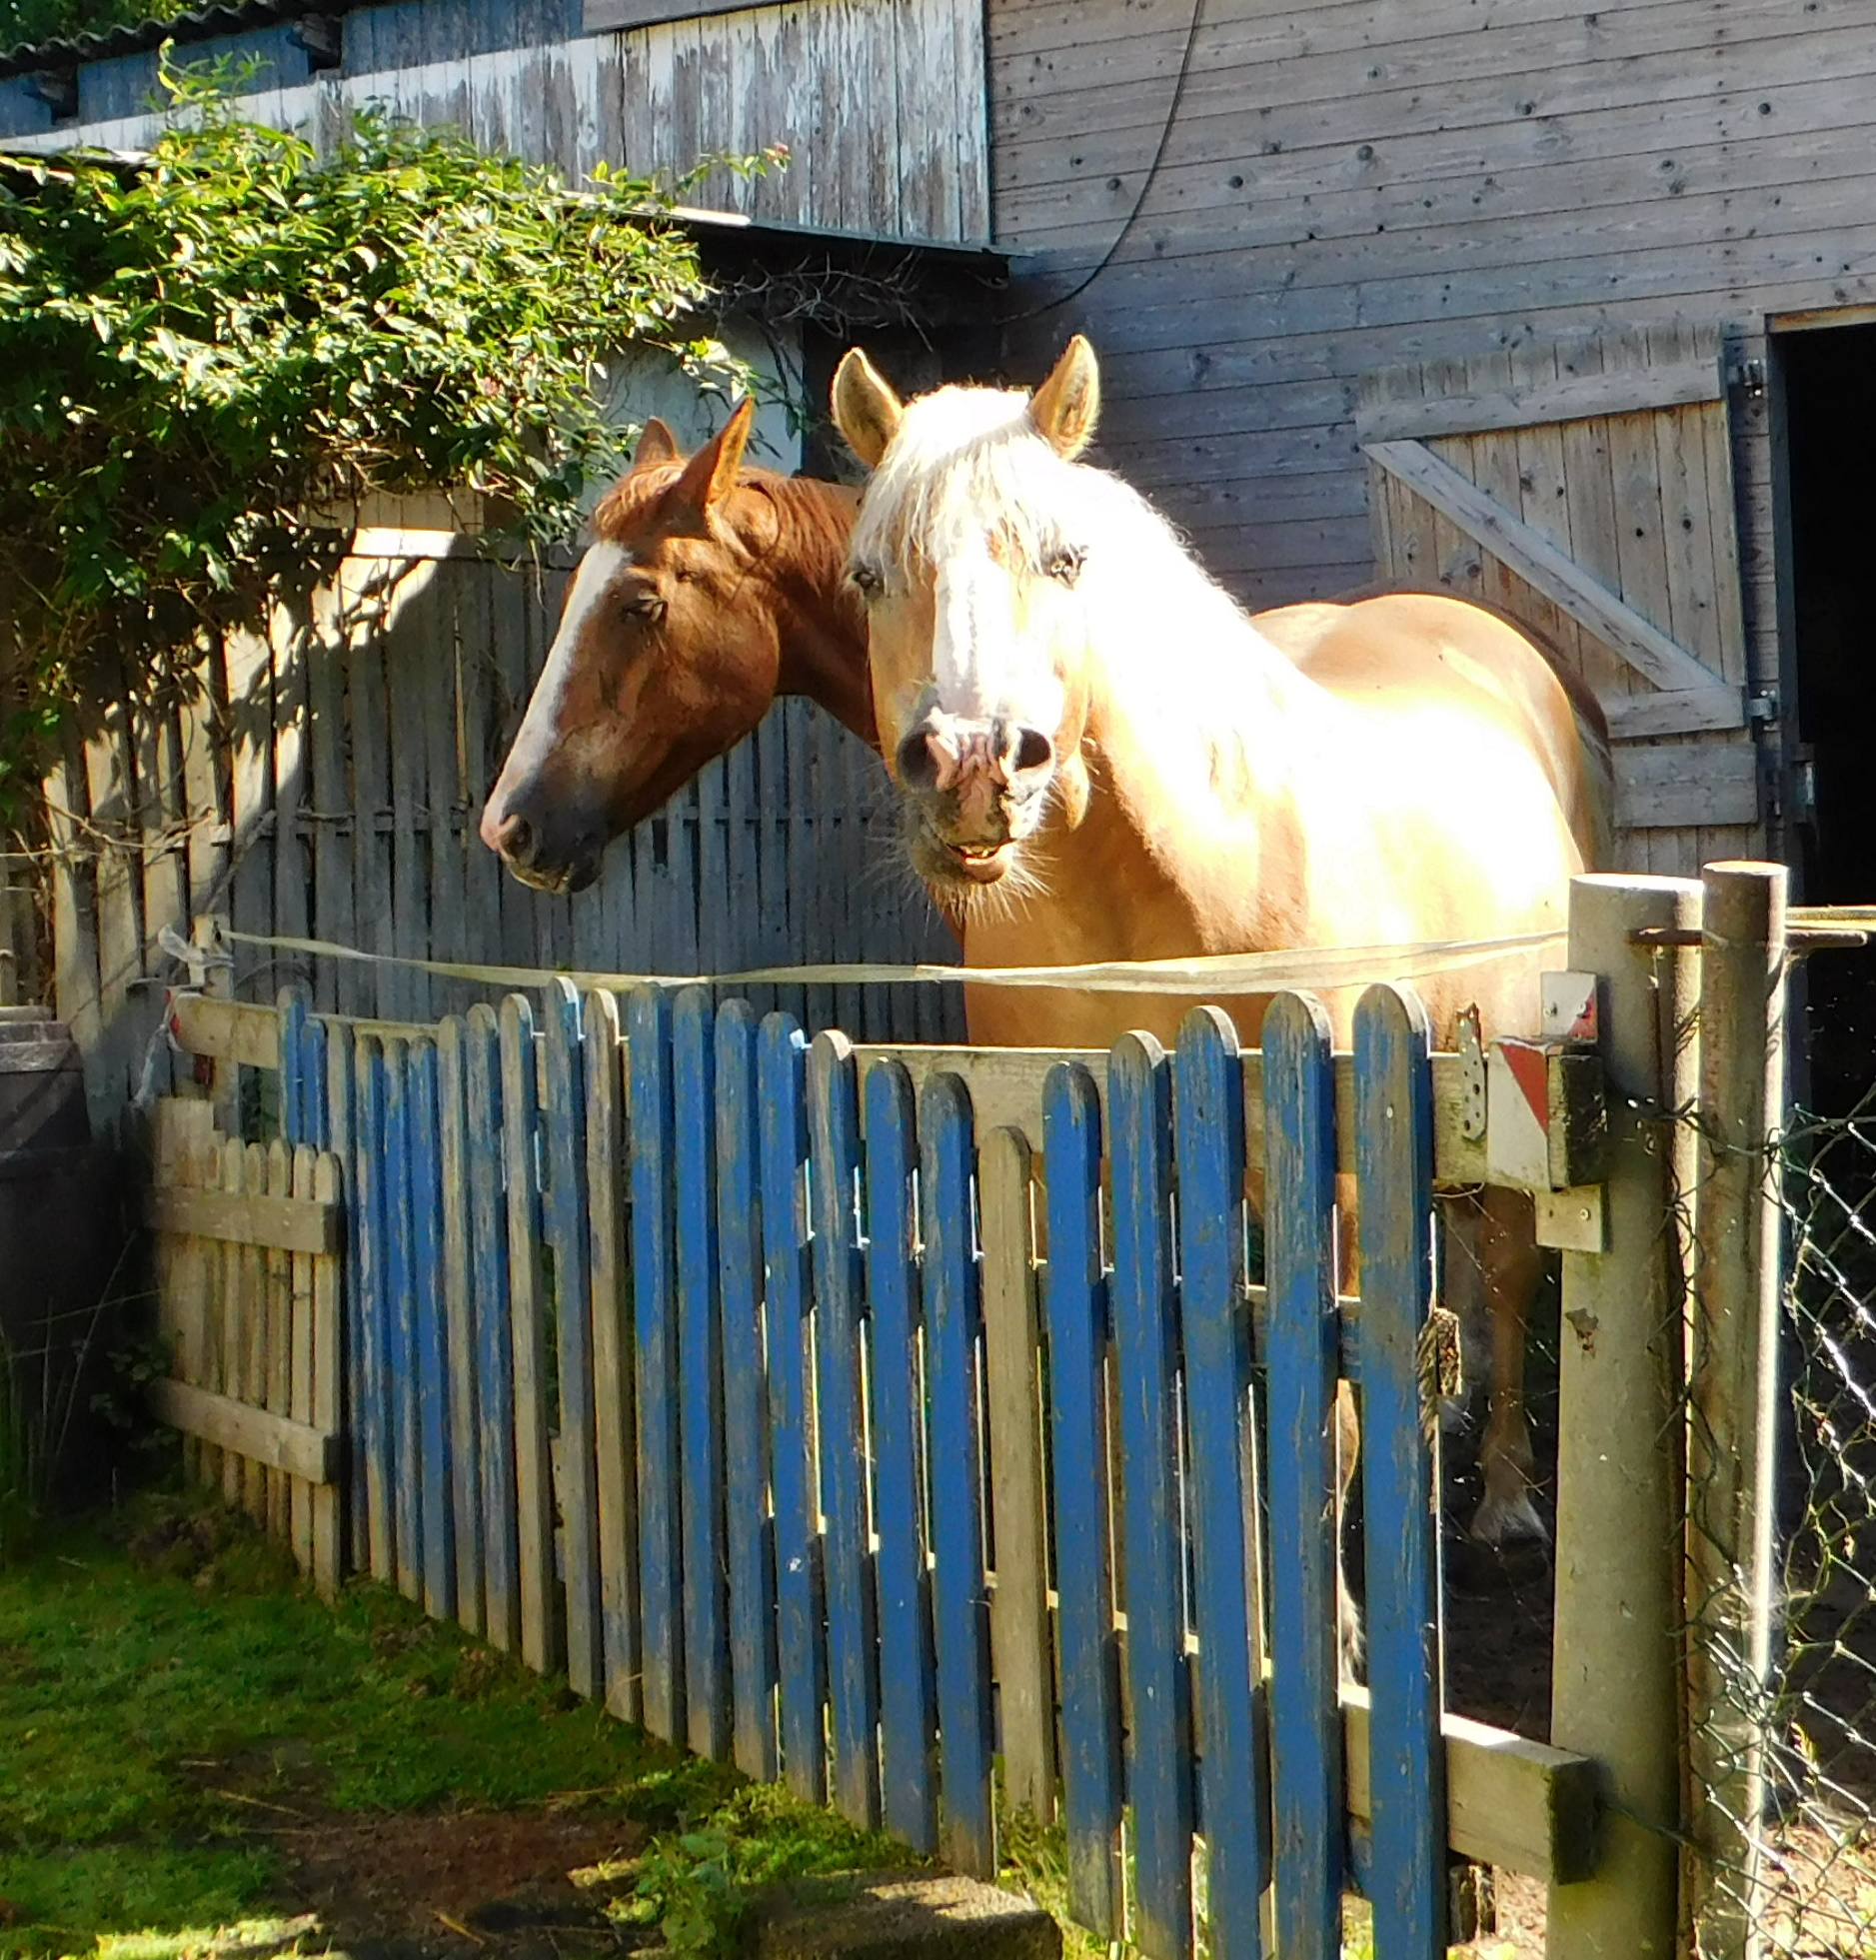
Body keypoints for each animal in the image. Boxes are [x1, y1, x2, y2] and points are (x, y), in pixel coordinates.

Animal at [830, 334, 1615, 1546]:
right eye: (867, 577)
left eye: (1065, 559)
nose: (969, 767)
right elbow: (1108, 1396)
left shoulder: (1324, 1173)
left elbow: (1327, 1419)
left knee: (1507, 1269)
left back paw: (1502, 1498)